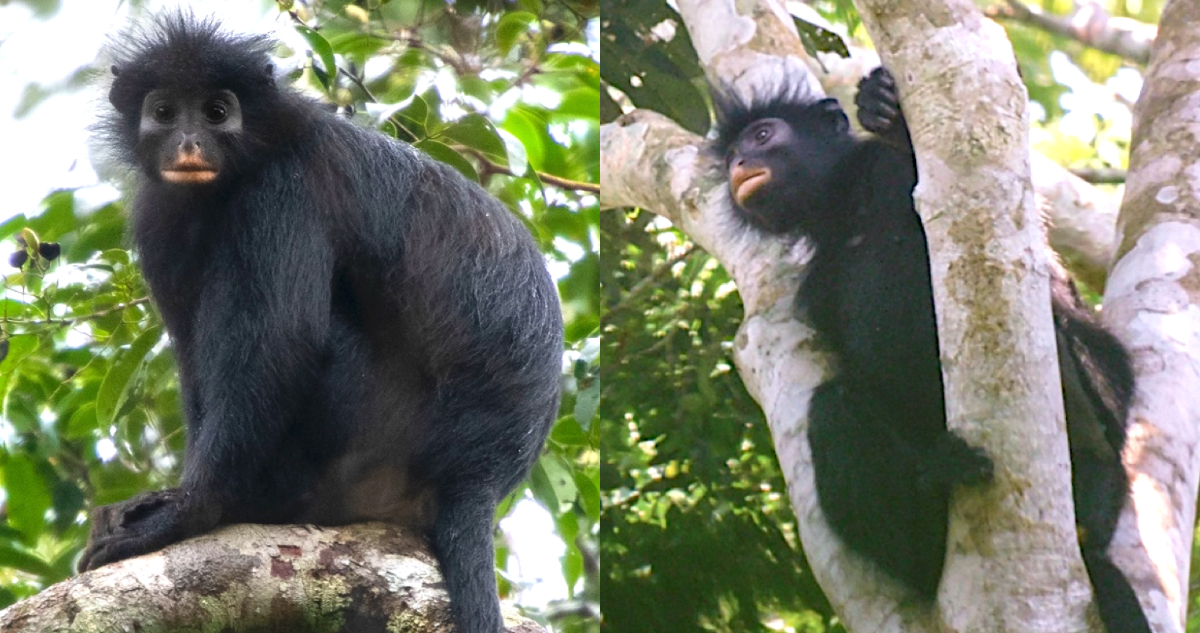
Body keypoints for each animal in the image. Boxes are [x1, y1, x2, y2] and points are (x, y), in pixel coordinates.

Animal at [80, 14, 563, 633]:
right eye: (164, 111)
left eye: (216, 111)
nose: (189, 142)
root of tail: (480, 475)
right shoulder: (159, 217)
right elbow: (191, 357)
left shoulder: (284, 190)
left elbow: (280, 344)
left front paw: (193, 510)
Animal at [712, 67, 1148, 633]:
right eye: (730, 157)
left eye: (763, 136)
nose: (739, 164)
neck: (846, 210)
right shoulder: (818, 283)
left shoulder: (885, 175)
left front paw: (890, 116)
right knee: (834, 406)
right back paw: (935, 487)